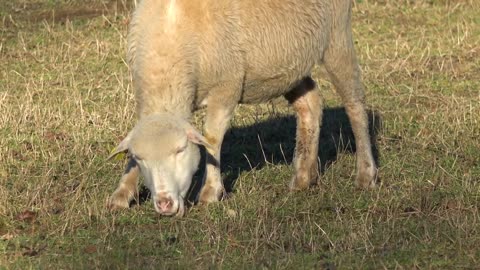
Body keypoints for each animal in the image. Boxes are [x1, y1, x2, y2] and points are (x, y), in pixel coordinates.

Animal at [108, 0, 378, 216]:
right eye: (141, 158)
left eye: (180, 150)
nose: (164, 204)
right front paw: (122, 193)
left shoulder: (226, 87)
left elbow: (212, 139)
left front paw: (210, 192)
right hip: (289, 64)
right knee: (310, 103)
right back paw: (303, 176)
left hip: (337, 36)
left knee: (355, 105)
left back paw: (366, 174)